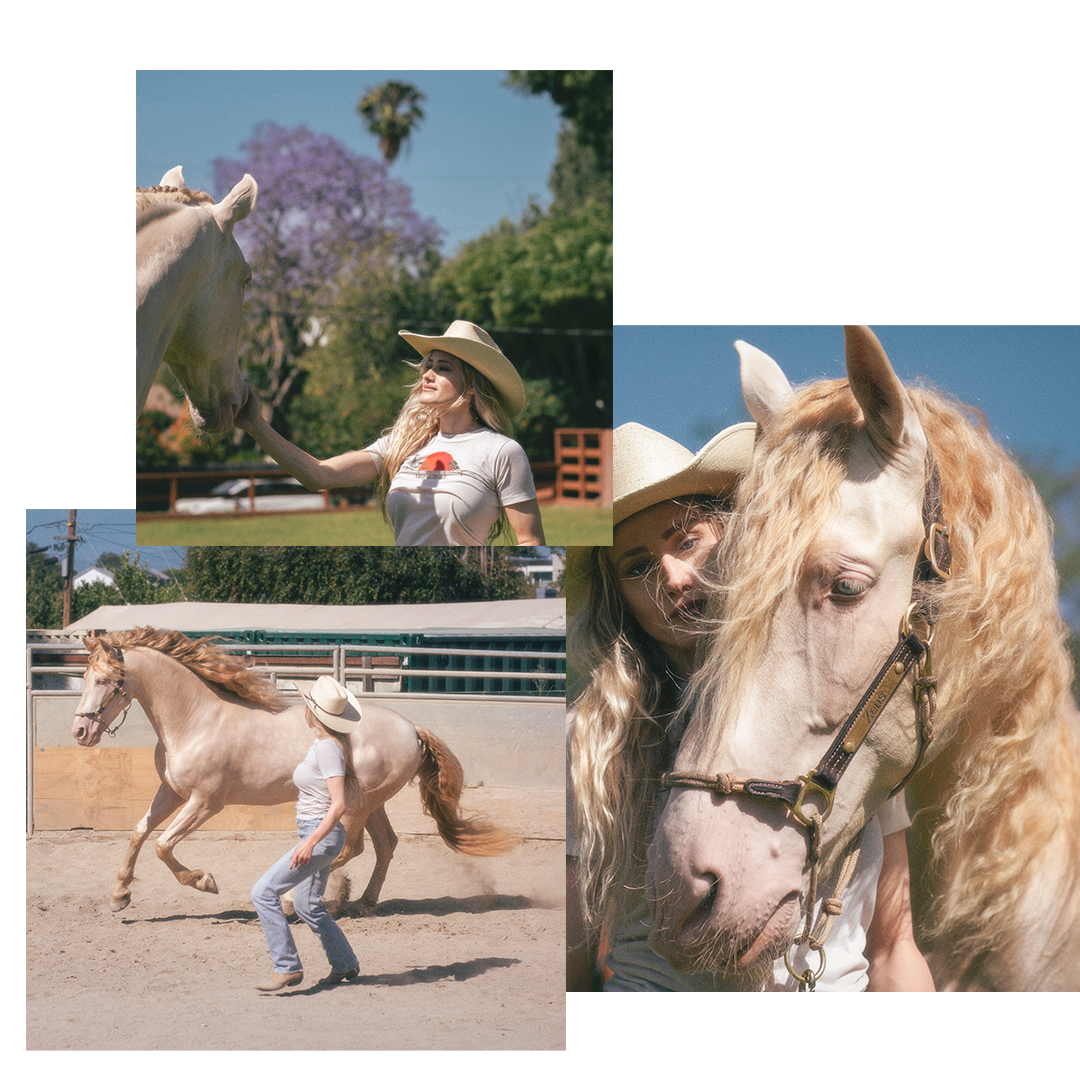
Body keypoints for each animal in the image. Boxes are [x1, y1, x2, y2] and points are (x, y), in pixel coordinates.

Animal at [70, 627, 516, 914]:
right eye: (86, 676)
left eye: (106, 680)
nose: (80, 731)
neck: (196, 720)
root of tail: (411, 728)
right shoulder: (173, 792)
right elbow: (139, 832)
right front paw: (119, 895)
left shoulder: (205, 802)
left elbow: (163, 845)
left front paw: (205, 882)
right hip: (372, 803)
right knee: (385, 845)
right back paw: (363, 903)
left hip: (356, 803)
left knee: (352, 848)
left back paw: (291, 902)